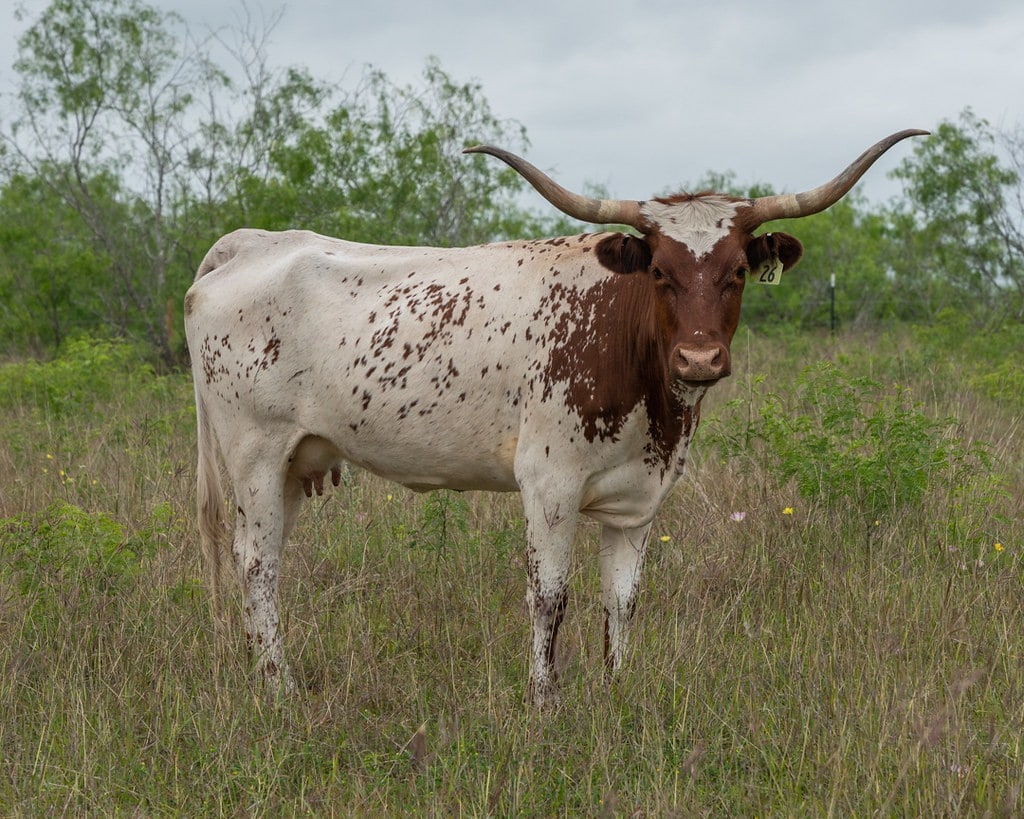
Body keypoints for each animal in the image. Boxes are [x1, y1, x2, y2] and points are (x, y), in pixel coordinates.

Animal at [186, 129, 929, 704]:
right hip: (254, 452)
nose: (698, 359)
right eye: (659, 272)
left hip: (295, 461)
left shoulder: (639, 499)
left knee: (267, 556)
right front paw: (545, 701)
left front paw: (618, 692)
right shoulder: (548, 483)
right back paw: (279, 687)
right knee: (257, 562)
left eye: (738, 271)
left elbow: (621, 600)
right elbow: (550, 597)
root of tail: (247, 244)